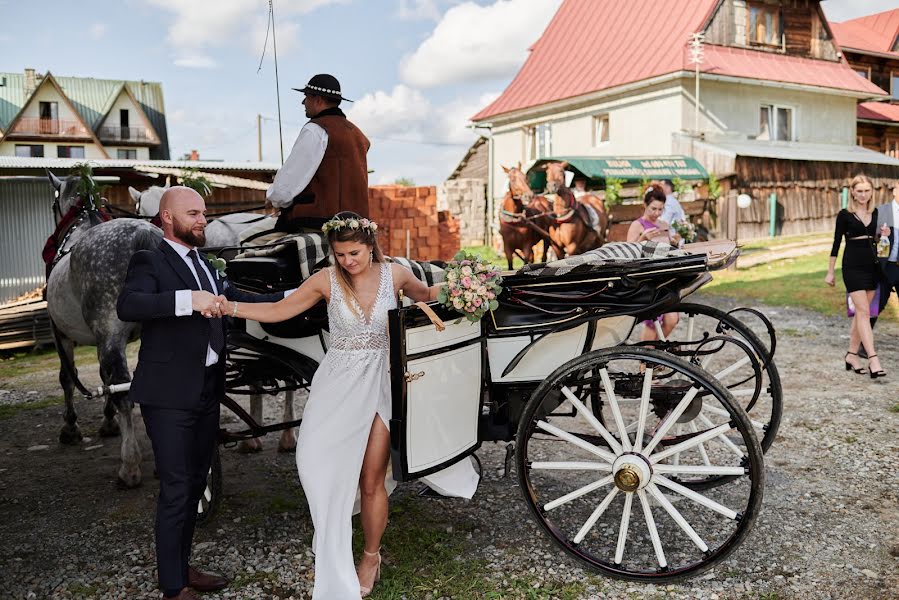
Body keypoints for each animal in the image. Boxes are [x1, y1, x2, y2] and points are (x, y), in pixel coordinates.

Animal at [45, 172, 163, 488]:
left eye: (52, 205)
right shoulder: (101, 340)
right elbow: (103, 377)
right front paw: (109, 422)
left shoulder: (63, 336)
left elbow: (68, 378)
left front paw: (70, 428)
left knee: (124, 388)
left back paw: (129, 467)